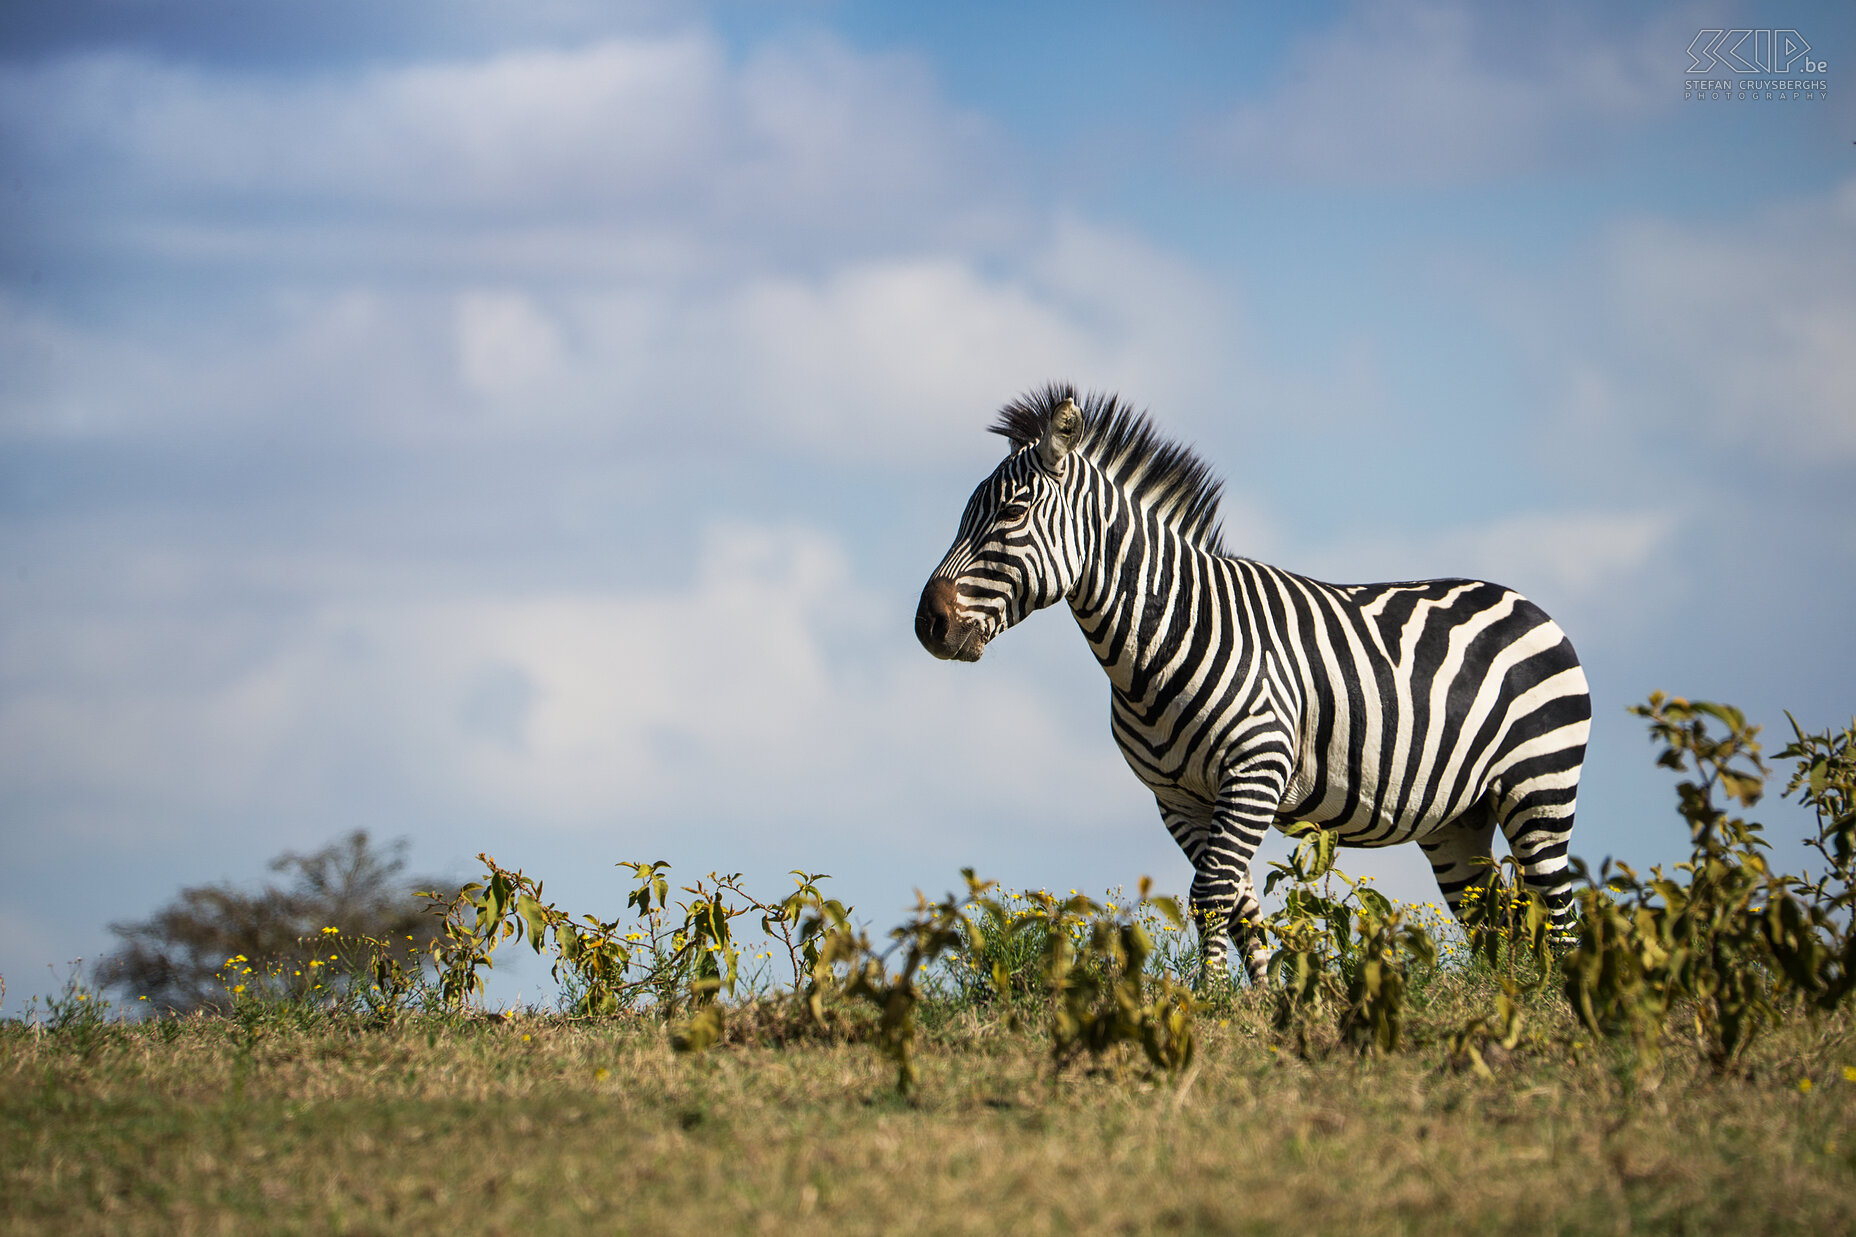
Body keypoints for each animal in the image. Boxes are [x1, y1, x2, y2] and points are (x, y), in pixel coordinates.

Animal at [913, 386, 1596, 980]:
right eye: (965, 513)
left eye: (1013, 511)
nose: (928, 624)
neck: (1160, 638)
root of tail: (1526, 603)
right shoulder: (1178, 798)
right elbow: (1238, 903)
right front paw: (1260, 1007)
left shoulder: (1255, 770)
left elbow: (1212, 892)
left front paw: (1207, 1006)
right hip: (1457, 817)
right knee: (1493, 917)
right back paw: (1505, 1002)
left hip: (1540, 787)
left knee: (1558, 911)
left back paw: (1564, 1014)